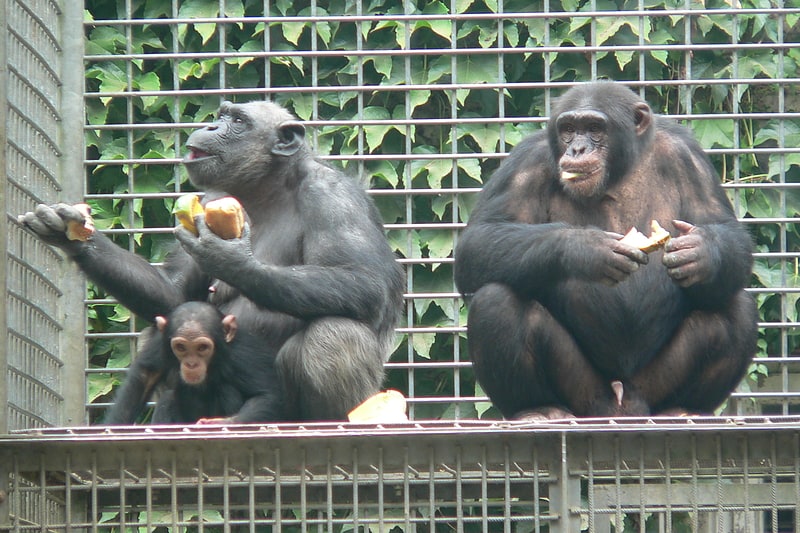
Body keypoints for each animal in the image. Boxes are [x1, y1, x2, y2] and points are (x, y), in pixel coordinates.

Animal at [106, 302, 286, 422]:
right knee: (168, 399)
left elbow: (267, 395)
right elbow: (145, 376)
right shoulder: (161, 344)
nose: (191, 364)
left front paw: (219, 424)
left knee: (227, 389)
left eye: (202, 347)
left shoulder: (243, 354)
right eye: (181, 347)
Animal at [454, 80, 760, 420]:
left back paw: (683, 408)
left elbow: (725, 228)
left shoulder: (690, 158)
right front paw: (586, 249)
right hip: (585, 395)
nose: (577, 149)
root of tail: (621, 406)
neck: (619, 172)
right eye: (568, 129)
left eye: (594, 128)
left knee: (735, 305)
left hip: (652, 387)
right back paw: (536, 408)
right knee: (497, 300)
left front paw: (701, 254)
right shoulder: (526, 162)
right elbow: (479, 241)